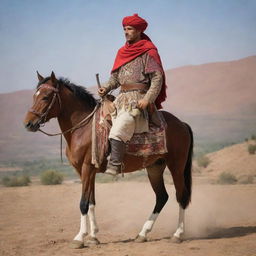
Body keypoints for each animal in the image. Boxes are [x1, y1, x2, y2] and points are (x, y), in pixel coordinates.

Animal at [24, 71, 193, 248]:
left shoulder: (87, 168)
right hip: (154, 168)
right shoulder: (85, 172)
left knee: (181, 196)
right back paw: (142, 234)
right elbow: (91, 202)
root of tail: (182, 124)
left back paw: (177, 234)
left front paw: (79, 237)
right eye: (34, 96)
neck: (82, 129)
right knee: (162, 197)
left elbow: (83, 203)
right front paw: (93, 237)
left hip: (176, 166)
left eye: (45, 97)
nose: (28, 123)